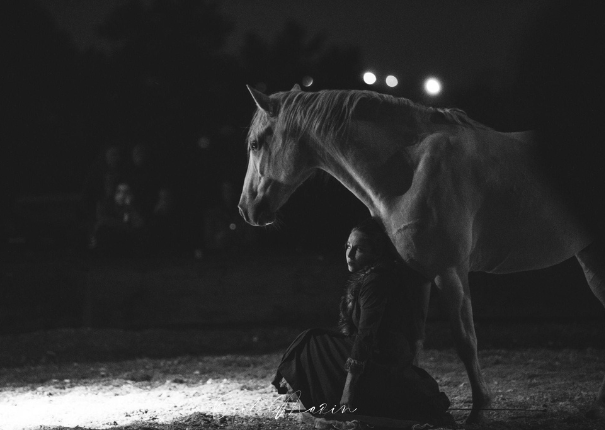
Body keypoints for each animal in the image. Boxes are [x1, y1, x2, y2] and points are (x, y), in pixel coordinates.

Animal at [236, 85, 604, 424]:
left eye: (256, 144)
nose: (245, 209)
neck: (413, 168)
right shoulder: (417, 275)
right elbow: (415, 341)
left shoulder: (449, 272)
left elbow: (466, 342)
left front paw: (478, 411)